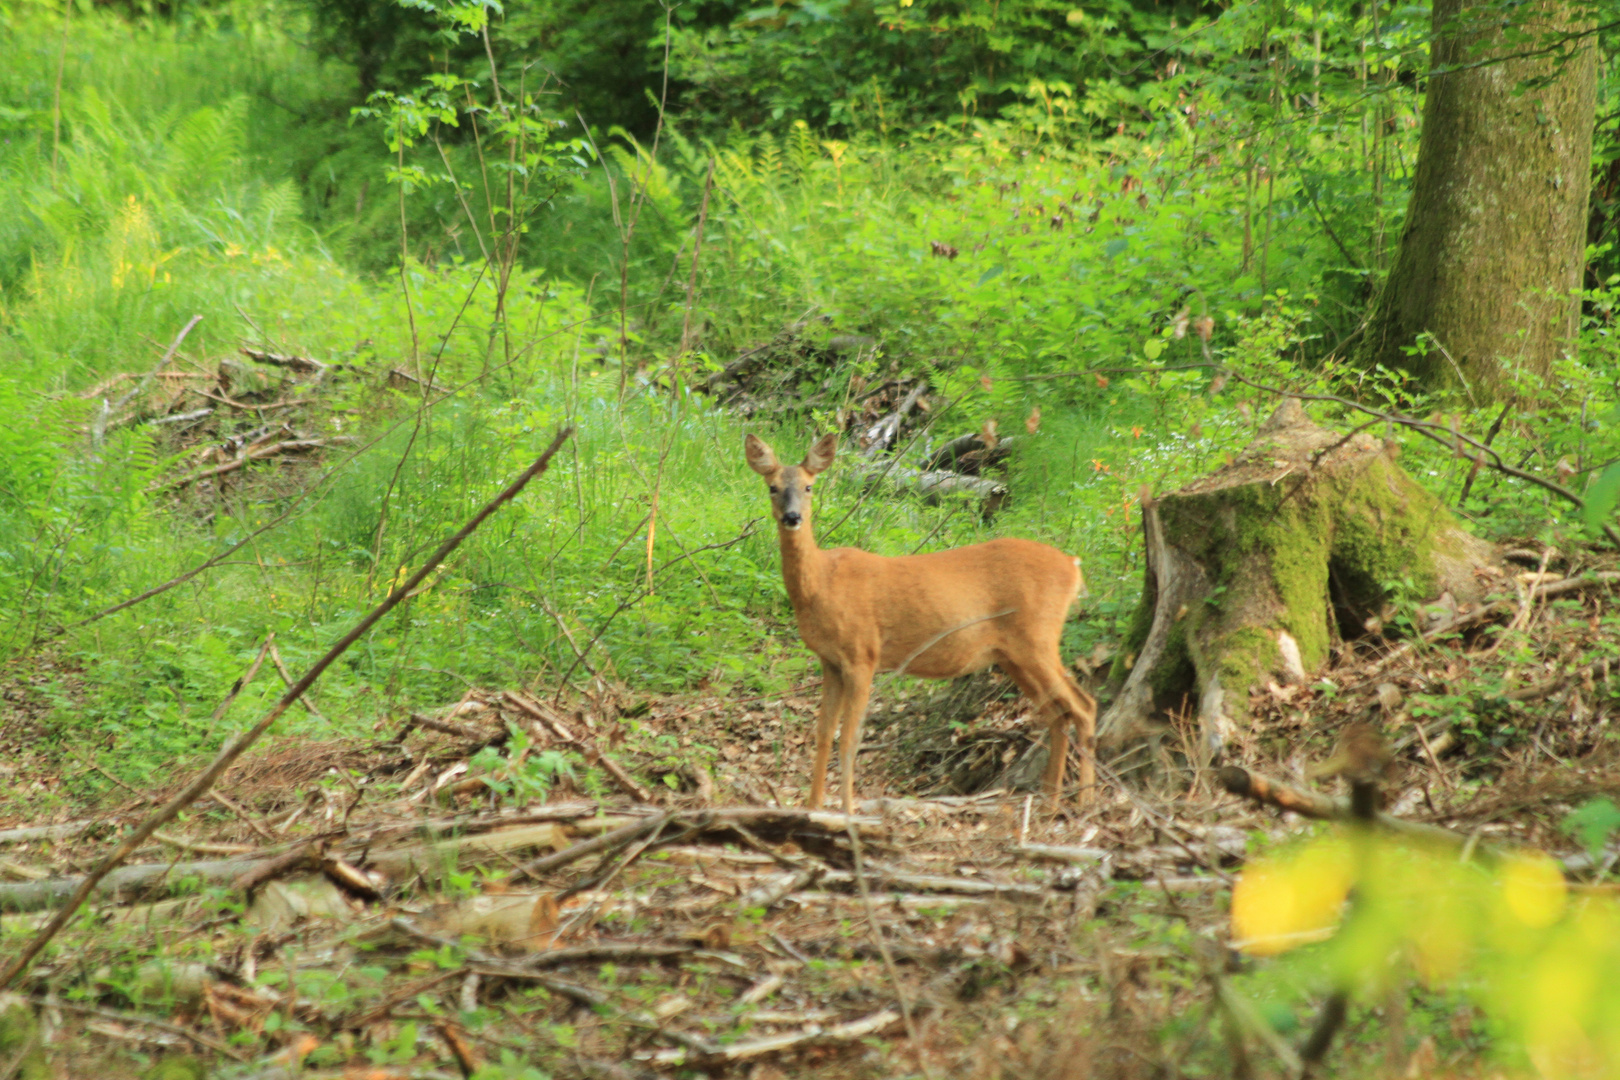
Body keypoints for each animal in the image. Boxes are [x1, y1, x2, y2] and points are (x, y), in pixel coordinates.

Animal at [745, 430, 1101, 809]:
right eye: (772, 487)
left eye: (809, 486)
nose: (792, 517)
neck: (822, 584)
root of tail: (1073, 566)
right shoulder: (830, 661)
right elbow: (824, 733)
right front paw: (812, 808)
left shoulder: (862, 654)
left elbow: (850, 738)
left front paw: (848, 810)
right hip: (1012, 655)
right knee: (1058, 713)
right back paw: (1051, 801)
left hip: (1038, 636)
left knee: (1083, 706)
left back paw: (1085, 802)